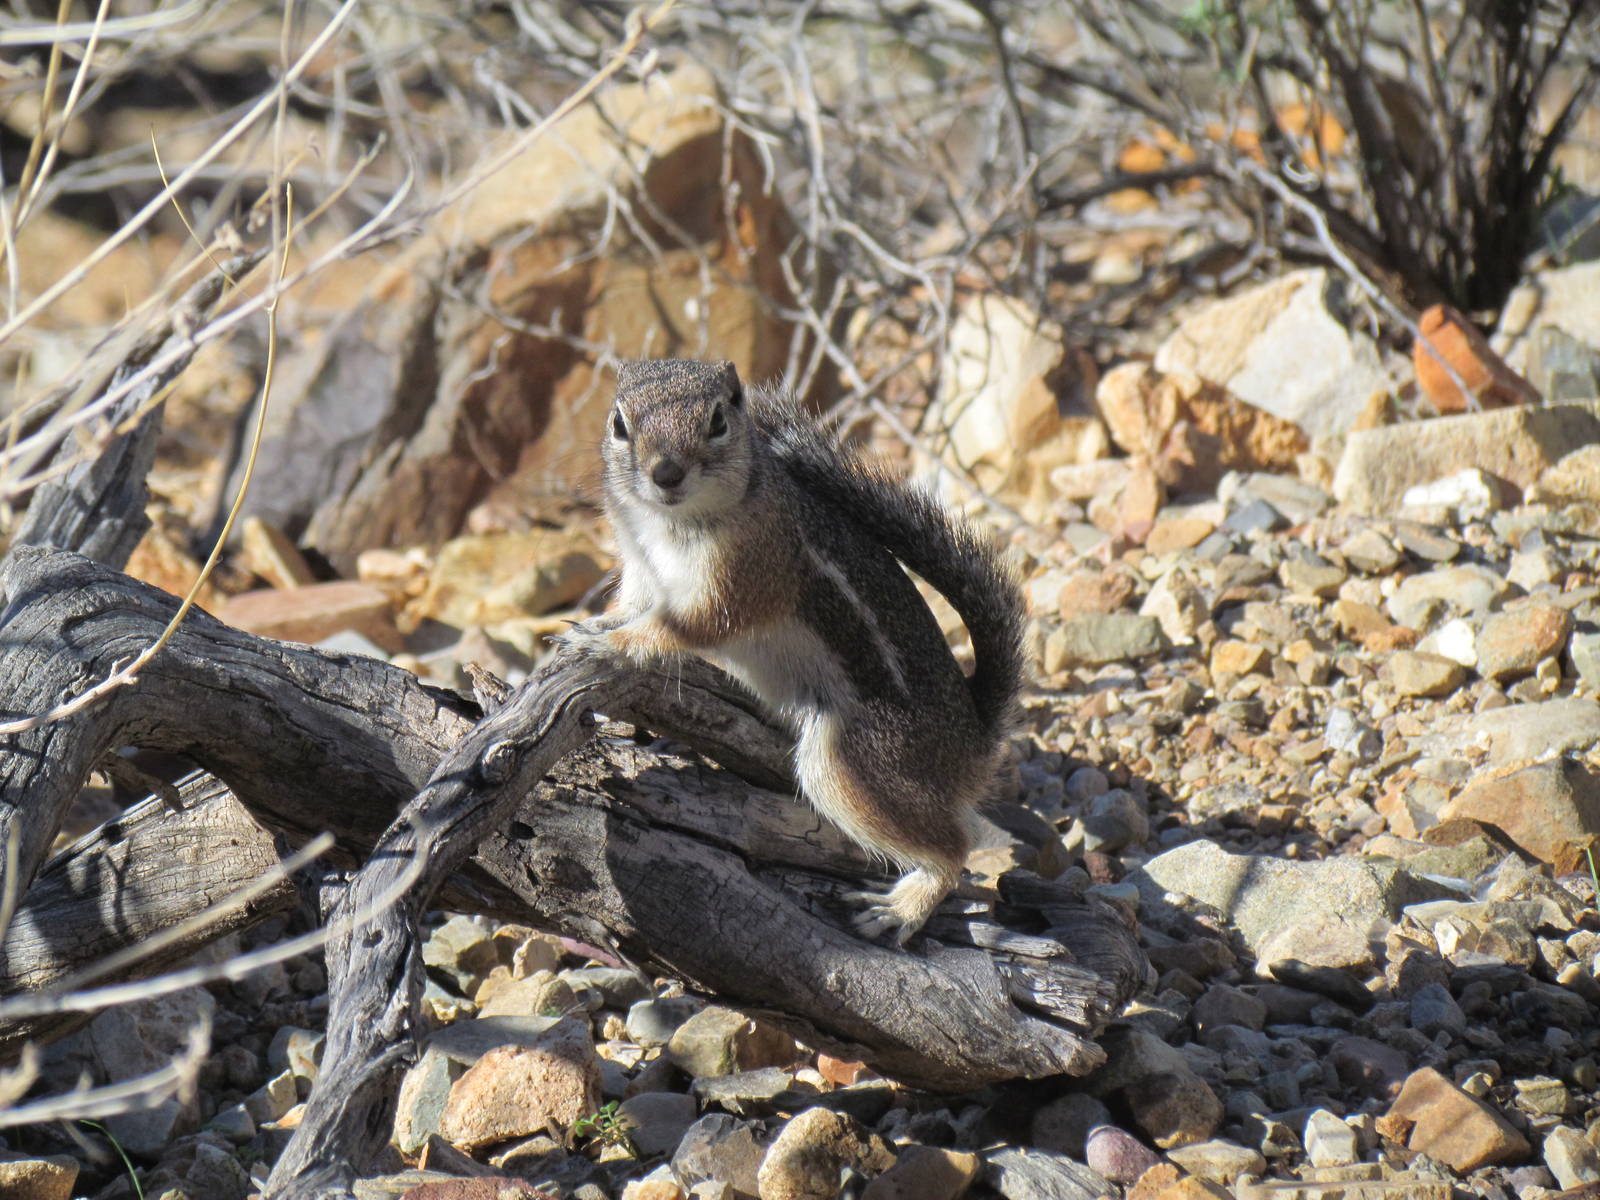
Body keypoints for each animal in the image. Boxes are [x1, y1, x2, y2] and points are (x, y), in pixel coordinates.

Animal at [578, 358, 1025, 944]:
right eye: (618, 423)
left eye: (718, 420)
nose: (666, 473)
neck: (671, 524)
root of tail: (974, 743)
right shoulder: (639, 566)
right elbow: (632, 604)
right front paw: (596, 624)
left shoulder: (746, 575)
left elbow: (693, 624)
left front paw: (615, 643)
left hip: (848, 760)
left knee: (954, 849)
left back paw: (901, 909)